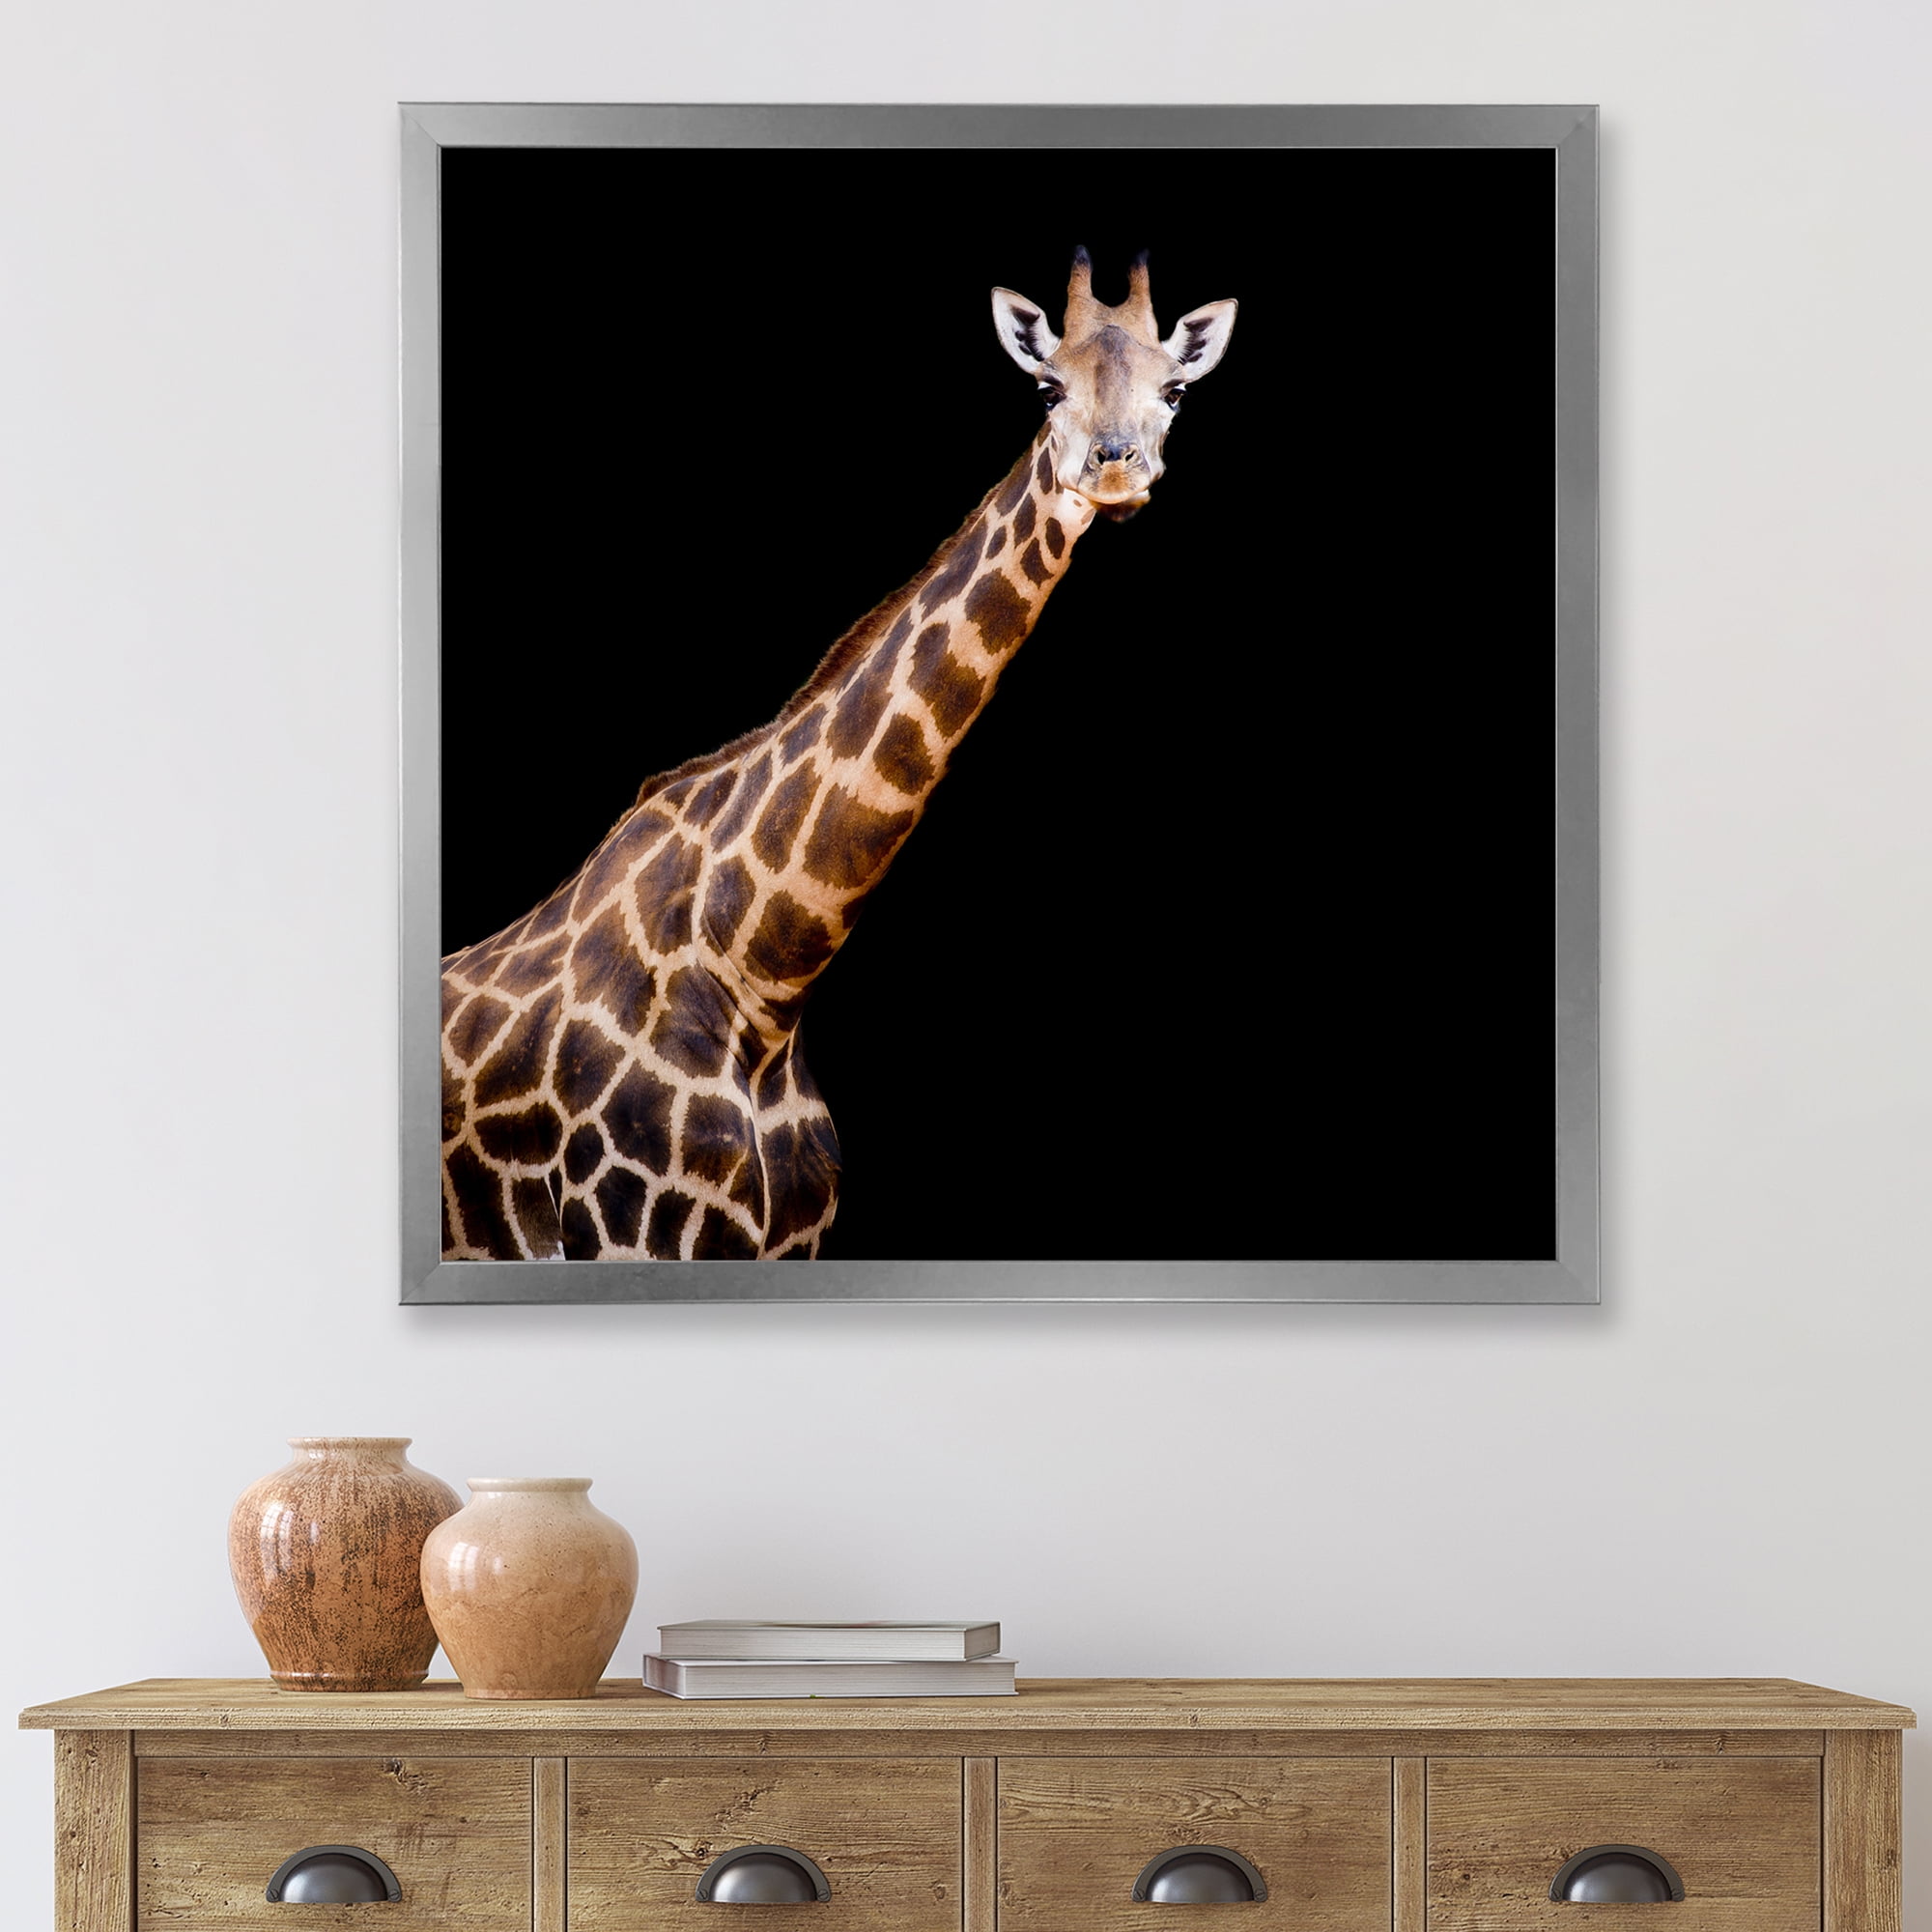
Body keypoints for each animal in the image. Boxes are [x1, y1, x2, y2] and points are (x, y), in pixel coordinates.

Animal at [439, 249, 1237, 1261]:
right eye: (1047, 387)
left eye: (1175, 390)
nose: (1115, 467)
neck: (761, 978)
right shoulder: (619, 1234)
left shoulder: (792, 1241)